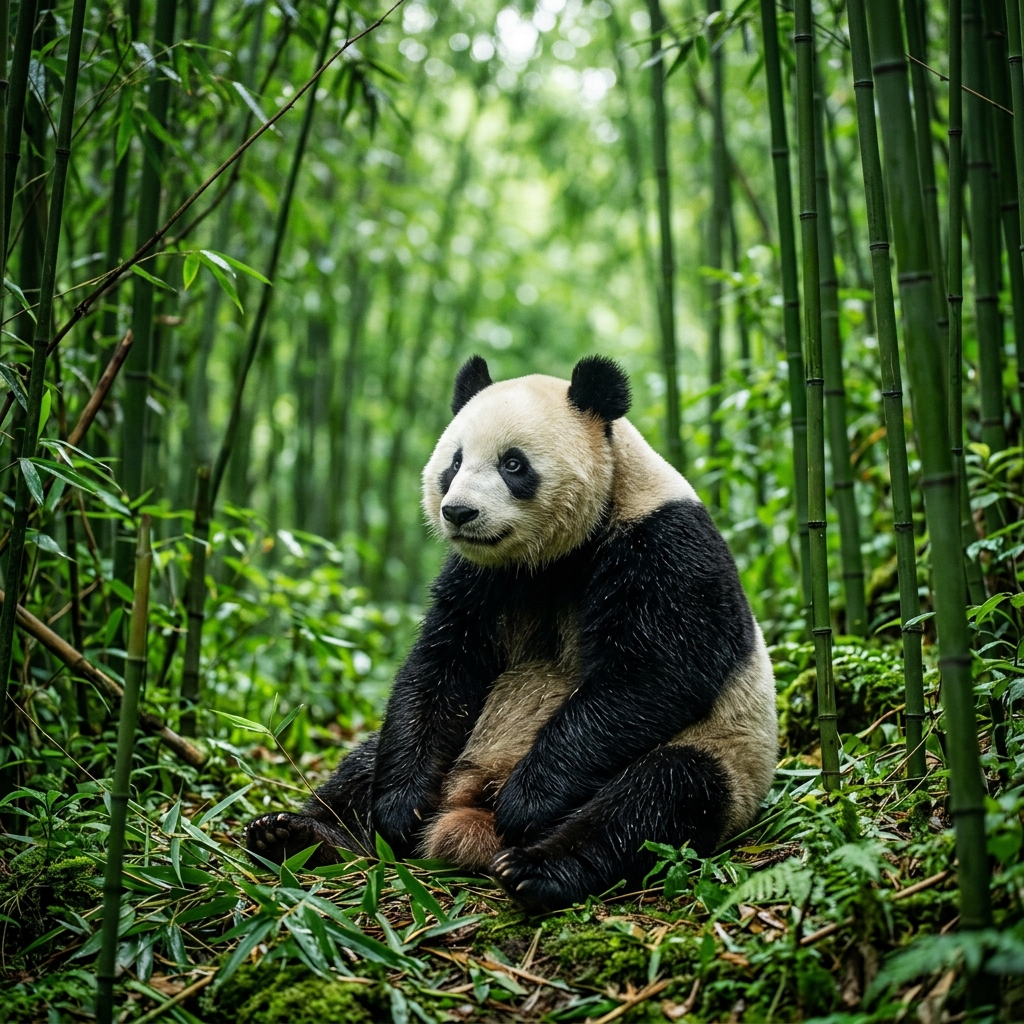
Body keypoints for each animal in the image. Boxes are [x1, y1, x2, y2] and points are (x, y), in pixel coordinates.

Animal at [245, 355, 778, 912]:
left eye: (514, 464)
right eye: (454, 462)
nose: (458, 512)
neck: (560, 553)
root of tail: (472, 809)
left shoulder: (664, 547)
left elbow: (653, 675)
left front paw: (526, 802)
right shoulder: (484, 577)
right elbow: (441, 666)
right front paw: (399, 809)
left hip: (727, 757)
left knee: (657, 799)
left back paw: (535, 868)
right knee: (368, 759)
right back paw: (298, 835)